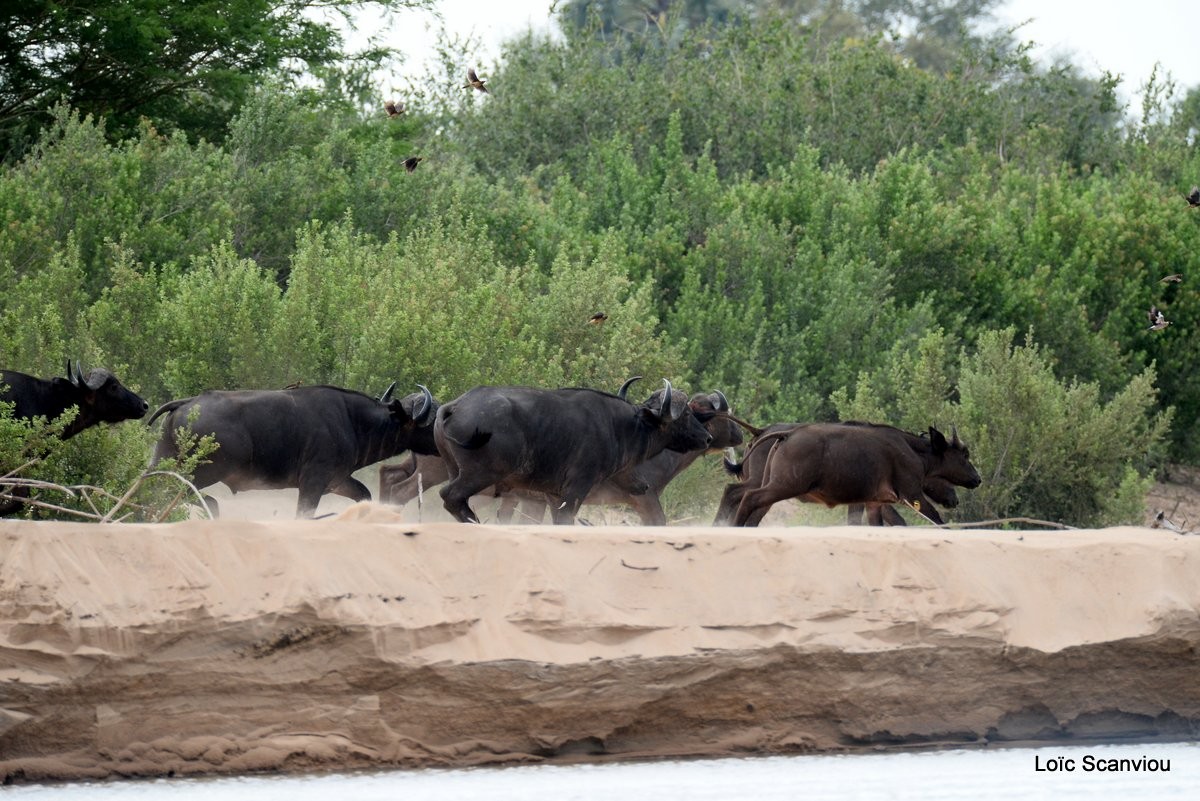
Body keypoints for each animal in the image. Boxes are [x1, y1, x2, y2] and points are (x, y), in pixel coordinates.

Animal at [147, 383, 434, 520]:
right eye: (430, 421)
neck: (352, 422)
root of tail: (187, 403)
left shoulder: (337, 481)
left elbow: (364, 494)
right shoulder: (313, 482)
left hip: (162, 461)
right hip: (203, 472)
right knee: (186, 495)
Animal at [715, 422, 979, 527]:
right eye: (965, 454)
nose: (977, 479)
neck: (913, 451)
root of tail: (785, 434)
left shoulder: (874, 502)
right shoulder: (913, 495)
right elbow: (936, 520)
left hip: (774, 486)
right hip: (781, 485)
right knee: (745, 497)